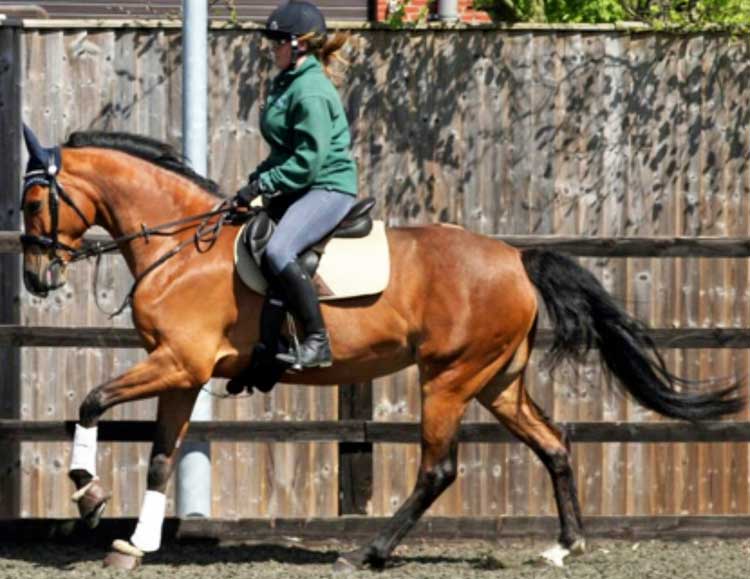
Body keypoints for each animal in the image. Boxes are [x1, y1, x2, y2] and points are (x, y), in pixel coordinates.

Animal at [19, 128, 748, 572]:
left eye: (31, 201)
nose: (35, 277)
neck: (182, 247)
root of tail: (515, 257)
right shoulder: (182, 373)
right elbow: (161, 459)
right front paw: (134, 543)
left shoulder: (178, 363)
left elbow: (90, 402)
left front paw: (87, 492)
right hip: (497, 382)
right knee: (555, 442)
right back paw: (564, 546)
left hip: (448, 379)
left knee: (438, 469)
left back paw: (368, 551)